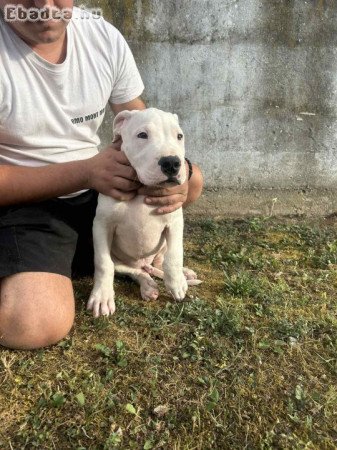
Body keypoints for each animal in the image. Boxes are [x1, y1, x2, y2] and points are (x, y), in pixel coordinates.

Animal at [88, 107, 201, 318]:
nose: (172, 163)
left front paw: (176, 283)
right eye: (142, 135)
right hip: (121, 260)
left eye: (179, 136)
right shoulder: (102, 225)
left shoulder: (175, 221)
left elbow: (175, 255)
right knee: (134, 271)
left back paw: (183, 273)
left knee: (159, 263)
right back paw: (148, 286)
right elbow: (103, 264)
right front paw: (102, 297)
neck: (142, 189)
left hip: (161, 248)